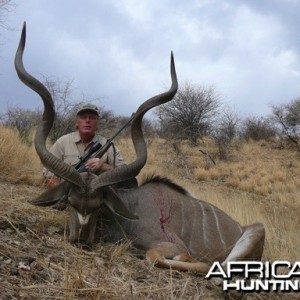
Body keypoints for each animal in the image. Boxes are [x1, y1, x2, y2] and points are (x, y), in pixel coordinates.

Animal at [15, 22, 264, 274]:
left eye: (97, 205)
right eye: (71, 202)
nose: (81, 241)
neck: (131, 209)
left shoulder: (169, 244)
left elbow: (157, 256)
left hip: (257, 230)